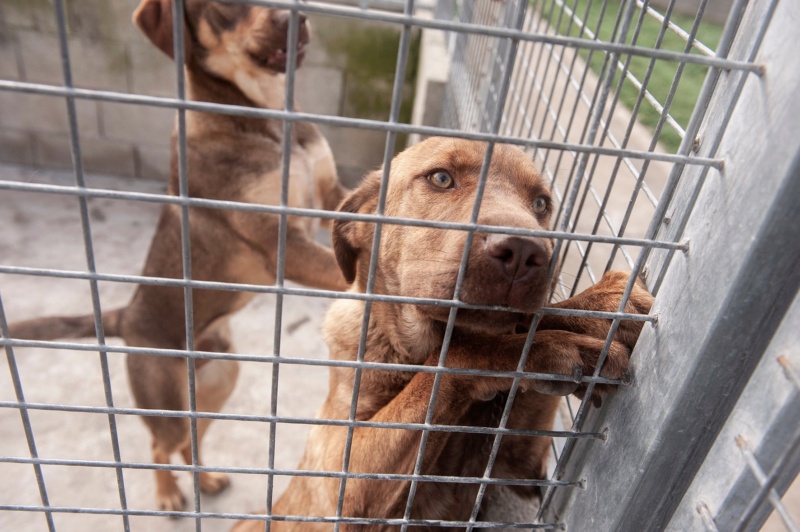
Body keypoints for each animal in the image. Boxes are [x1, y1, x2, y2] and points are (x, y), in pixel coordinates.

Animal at [7, 0, 350, 512]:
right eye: (225, 4)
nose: (294, 20)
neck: (266, 110)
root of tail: (127, 317)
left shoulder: (332, 196)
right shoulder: (282, 245)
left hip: (220, 378)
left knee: (191, 439)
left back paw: (204, 480)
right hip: (165, 400)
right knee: (160, 443)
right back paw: (168, 494)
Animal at [234, 137, 652, 528]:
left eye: (540, 204)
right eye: (441, 178)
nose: (523, 251)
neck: (408, 352)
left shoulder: (518, 477)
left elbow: (525, 323)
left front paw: (596, 306)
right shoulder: (338, 475)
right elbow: (460, 350)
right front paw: (550, 346)